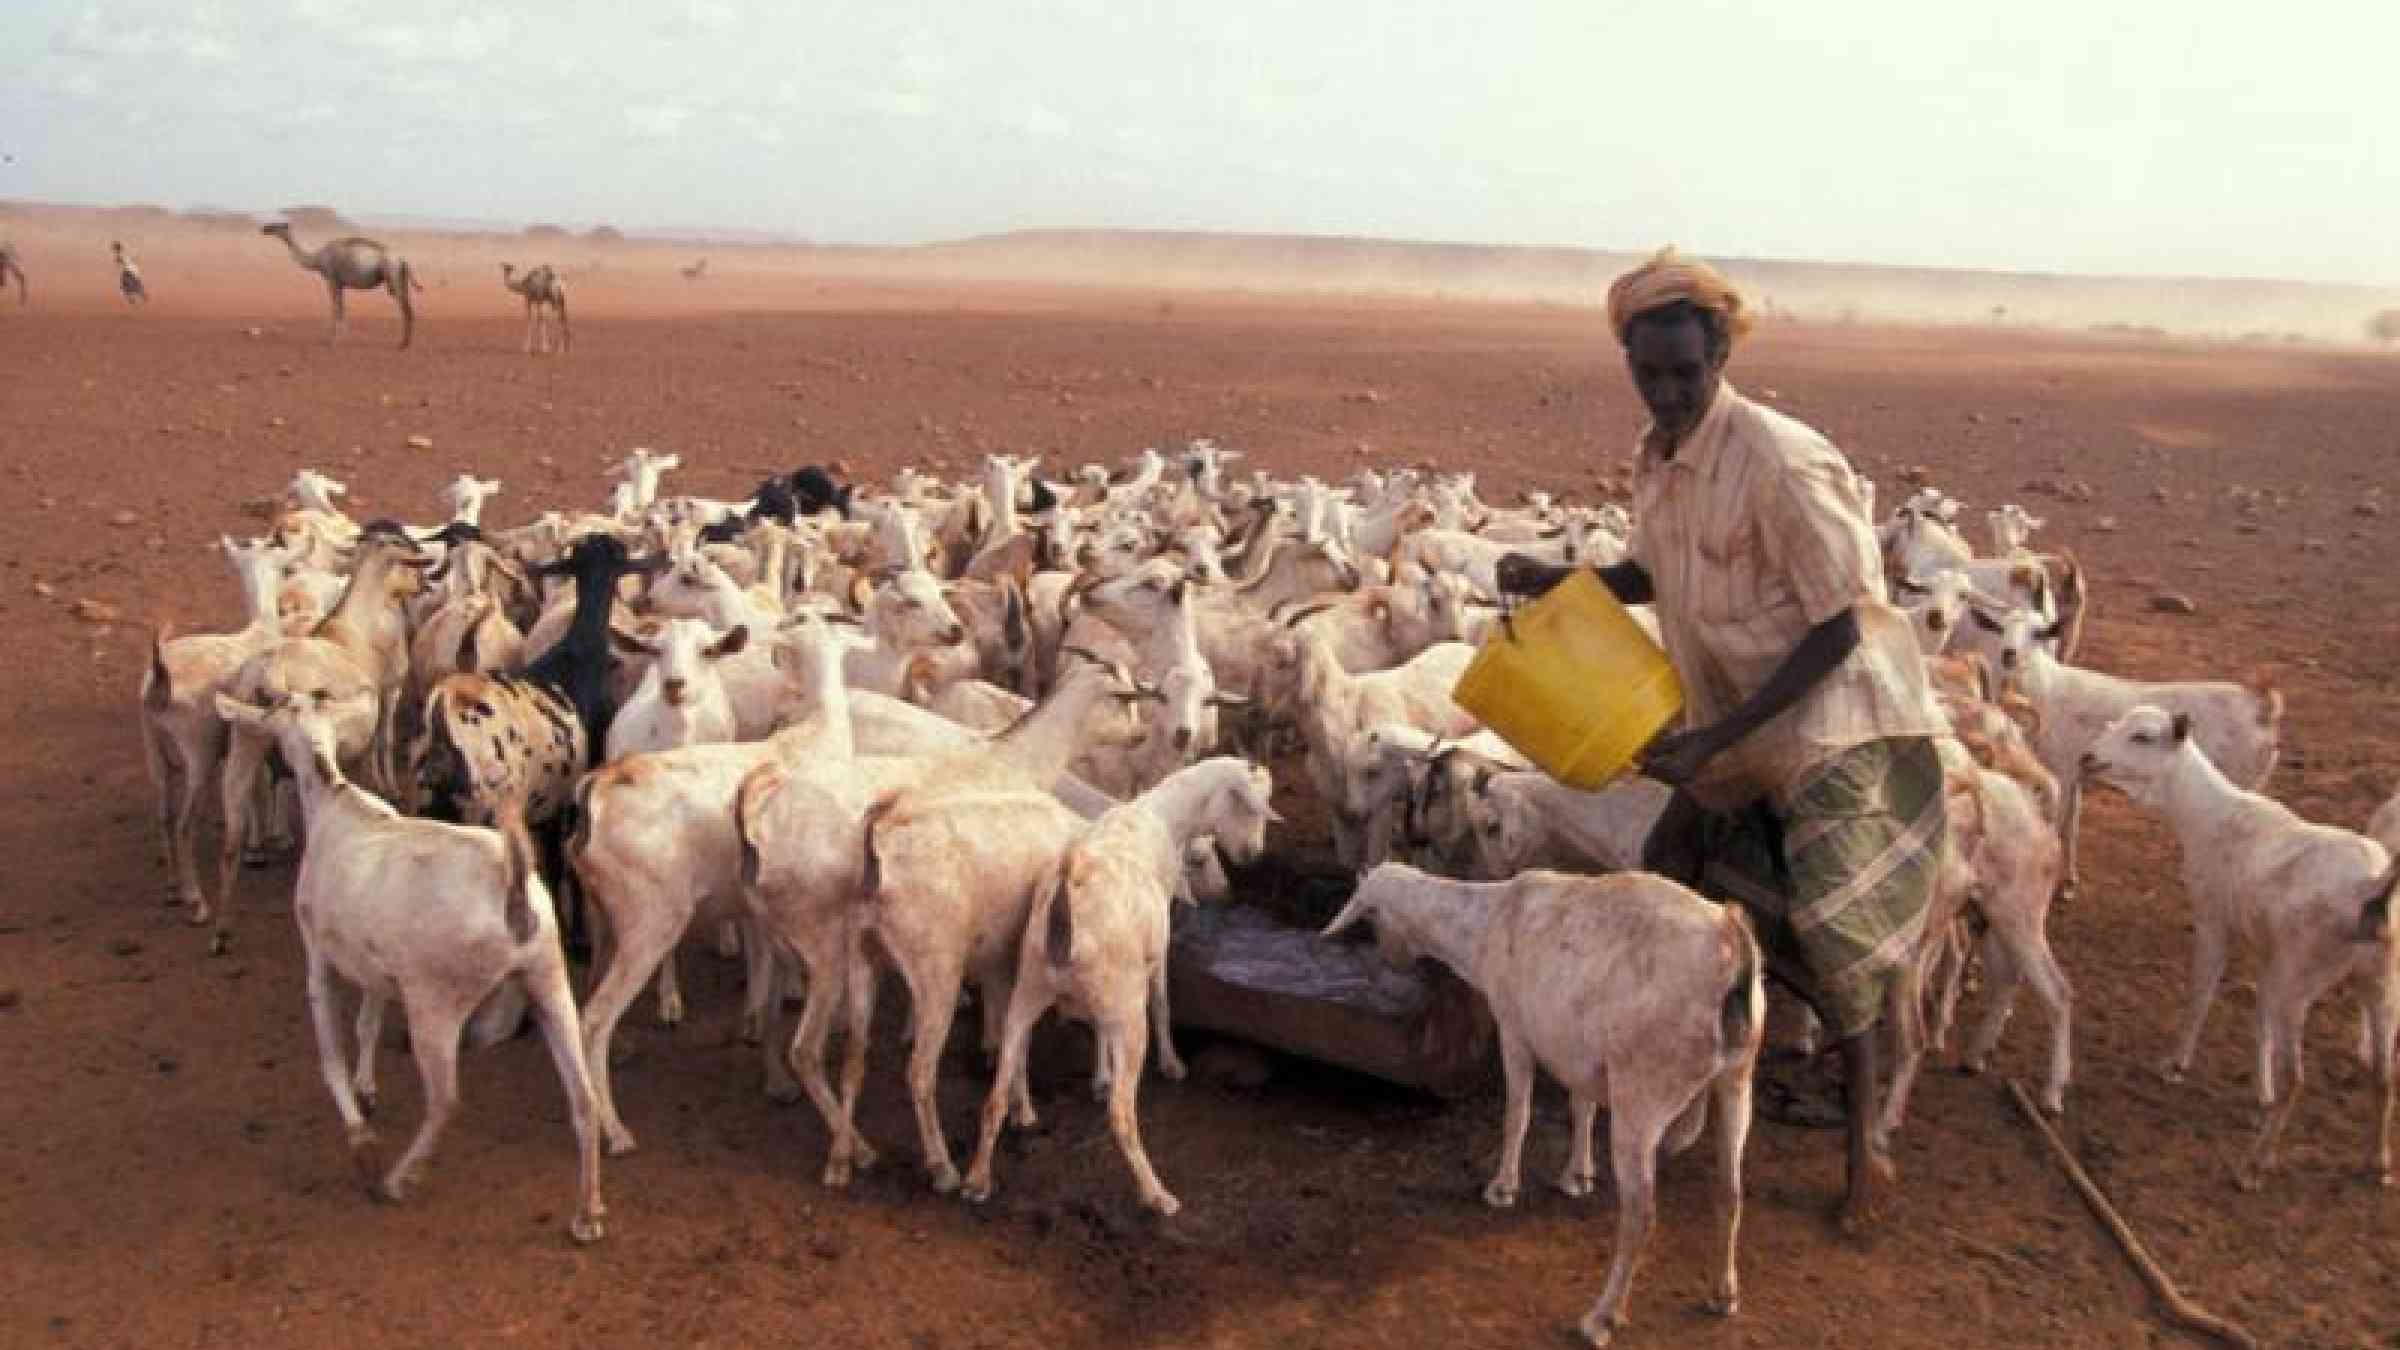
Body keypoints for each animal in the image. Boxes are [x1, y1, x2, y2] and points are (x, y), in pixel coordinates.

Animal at [261, 219, 422, 345]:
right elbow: (342, 307)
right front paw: (342, 337)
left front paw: (332, 340)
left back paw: (402, 344)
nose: (264, 228)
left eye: (277, 225)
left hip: (392, 274)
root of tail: (402, 259)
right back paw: (405, 343)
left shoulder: (332, 280)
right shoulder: (341, 284)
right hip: (400, 277)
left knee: (405, 307)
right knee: (408, 306)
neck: (317, 259)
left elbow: (335, 307)